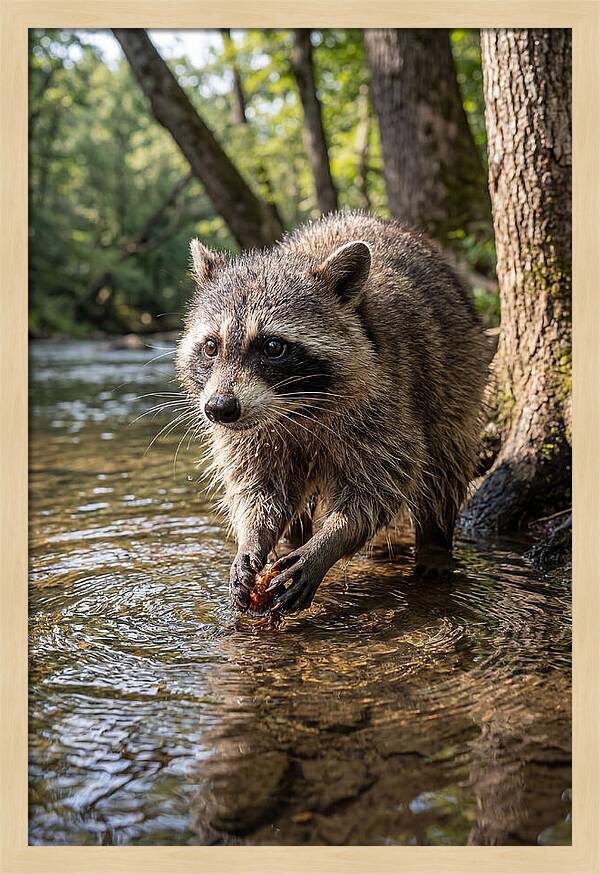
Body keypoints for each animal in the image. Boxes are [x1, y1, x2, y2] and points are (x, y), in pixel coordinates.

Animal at [176, 212, 488, 614]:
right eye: (212, 347)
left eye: (273, 347)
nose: (219, 410)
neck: (295, 407)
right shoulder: (250, 431)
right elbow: (259, 487)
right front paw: (253, 537)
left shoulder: (387, 399)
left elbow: (380, 485)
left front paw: (330, 541)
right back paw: (292, 538)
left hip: (457, 376)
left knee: (443, 468)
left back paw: (434, 545)